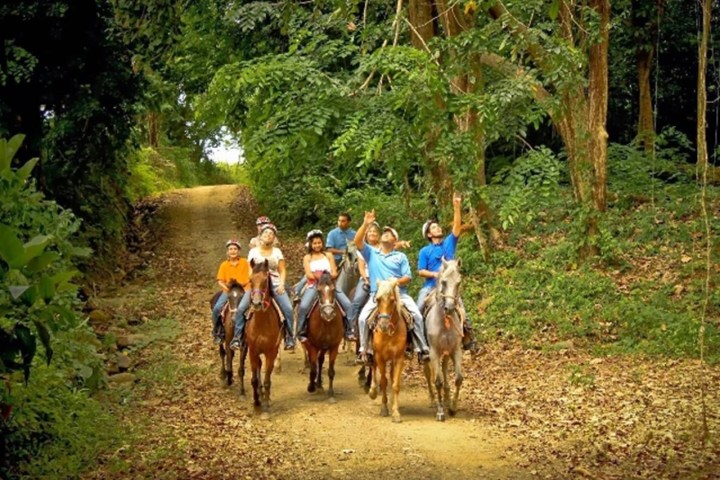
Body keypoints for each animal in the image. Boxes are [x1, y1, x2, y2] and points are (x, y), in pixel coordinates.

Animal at [238, 259, 283, 413]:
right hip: (245, 347)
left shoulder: (271, 352)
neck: (262, 323)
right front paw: (256, 402)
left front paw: (265, 405)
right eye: (251, 280)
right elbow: (254, 379)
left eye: (265, 281)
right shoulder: (253, 351)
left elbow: (267, 379)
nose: (256, 303)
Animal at [302, 272, 345, 402]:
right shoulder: (312, 346)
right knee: (315, 363)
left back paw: (319, 384)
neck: (326, 324)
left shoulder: (334, 346)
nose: (328, 313)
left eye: (334, 290)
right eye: (318, 291)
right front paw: (311, 387)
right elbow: (313, 369)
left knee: (320, 361)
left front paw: (331, 393)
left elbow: (330, 371)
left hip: (324, 347)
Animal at [368, 279, 408, 422]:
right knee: (373, 367)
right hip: (374, 354)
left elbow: (395, 384)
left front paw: (395, 412)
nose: (383, 325)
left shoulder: (399, 358)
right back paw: (372, 391)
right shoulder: (380, 357)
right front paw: (384, 408)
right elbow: (384, 382)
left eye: (392, 300)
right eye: (378, 300)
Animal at [422, 258, 464, 421]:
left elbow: (458, 378)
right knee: (429, 374)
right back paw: (433, 400)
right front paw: (440, 412)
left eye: (458, 282)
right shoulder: (433, 352)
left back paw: (446, 398)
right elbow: (437, 381)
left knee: (445, 369)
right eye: (444, 282)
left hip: (446, 353)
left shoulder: (456, 350)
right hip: (428, 355)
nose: (450, 308)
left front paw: (452, 407)